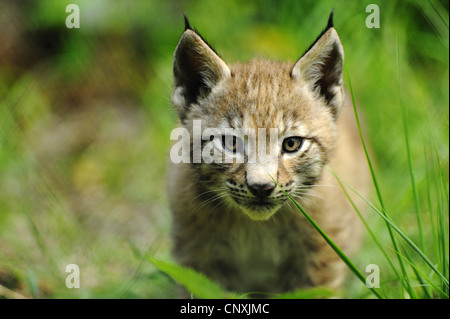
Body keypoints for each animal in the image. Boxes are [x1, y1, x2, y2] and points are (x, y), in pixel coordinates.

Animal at [167, 14, 370, 296]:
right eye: (231, 143)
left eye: (292, 144)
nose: (261, 188)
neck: (257, 229)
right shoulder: (194, 252)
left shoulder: (323, 252)